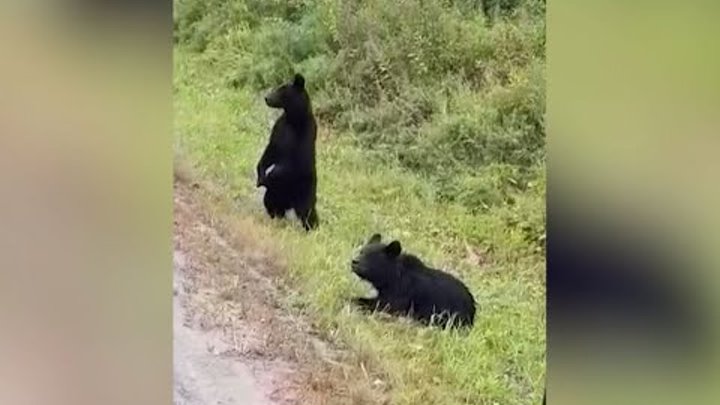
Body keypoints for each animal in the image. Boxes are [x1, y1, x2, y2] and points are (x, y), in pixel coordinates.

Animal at [256, 72, 318, 230]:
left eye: (281, 90)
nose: (266, 97)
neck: (294, 119)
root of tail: (290, 203)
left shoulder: (306, 134)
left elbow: (297, 161)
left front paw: (269, 176)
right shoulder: (280, 127)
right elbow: (271, 149)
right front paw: (261, 175)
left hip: (305, 191)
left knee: (308, 212)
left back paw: (312, 227)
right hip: (275, 194)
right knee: (269, 201)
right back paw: (275, 216)